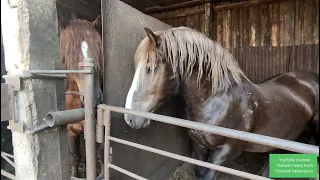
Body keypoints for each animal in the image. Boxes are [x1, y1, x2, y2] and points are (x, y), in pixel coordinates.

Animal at [57, 15, 104, 179]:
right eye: (70, 51)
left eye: (99, 48)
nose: (95, 97)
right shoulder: (70, 131)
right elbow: (75, 157)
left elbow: (100, 156)